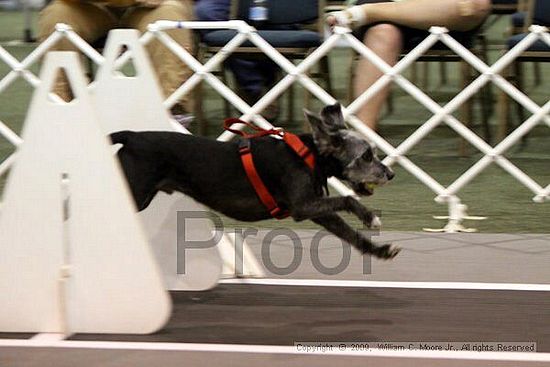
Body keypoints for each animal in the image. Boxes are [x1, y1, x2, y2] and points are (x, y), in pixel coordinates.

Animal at [112, 103, 402, 258]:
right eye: (366, 156)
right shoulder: (302, 206)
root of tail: (131, 136)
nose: (390, 174)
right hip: (133, 194)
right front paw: (370, 217)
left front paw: (380, 251)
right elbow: (348, 198)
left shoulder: (317, 209)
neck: (309, 155)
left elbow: (348, 233)